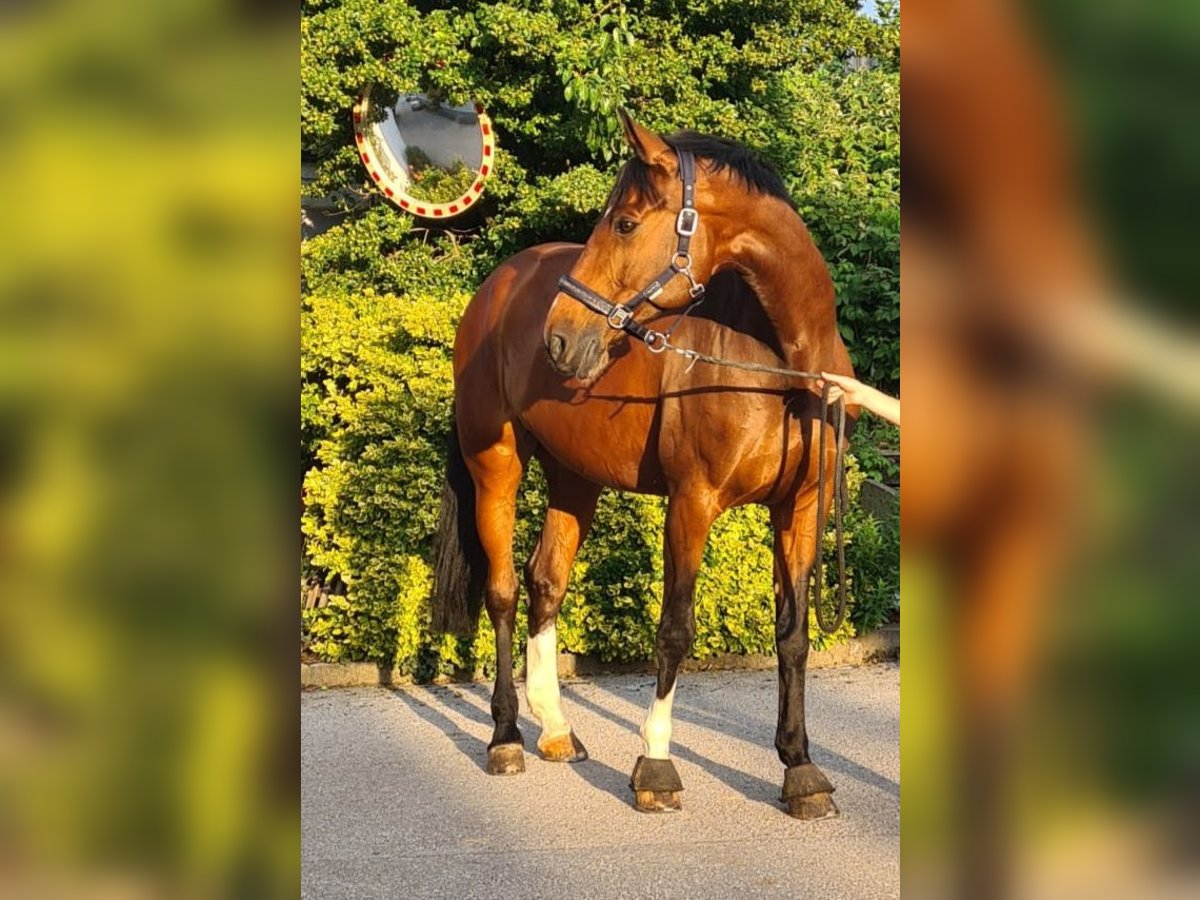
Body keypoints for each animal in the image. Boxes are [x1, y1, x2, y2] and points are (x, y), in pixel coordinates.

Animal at [432, 112, 854, 816]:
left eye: (626, 223)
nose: (560, 339)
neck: (782, 368)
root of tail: (498, 285)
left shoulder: (799, 510)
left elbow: (792, 635)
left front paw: (801, 769)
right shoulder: (693, 501)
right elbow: (676, 628)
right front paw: (655, 765)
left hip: (575, 478)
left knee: (546, 581)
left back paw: (555, 729)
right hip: (496, 464)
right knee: (504, 591)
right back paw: (506, 736)